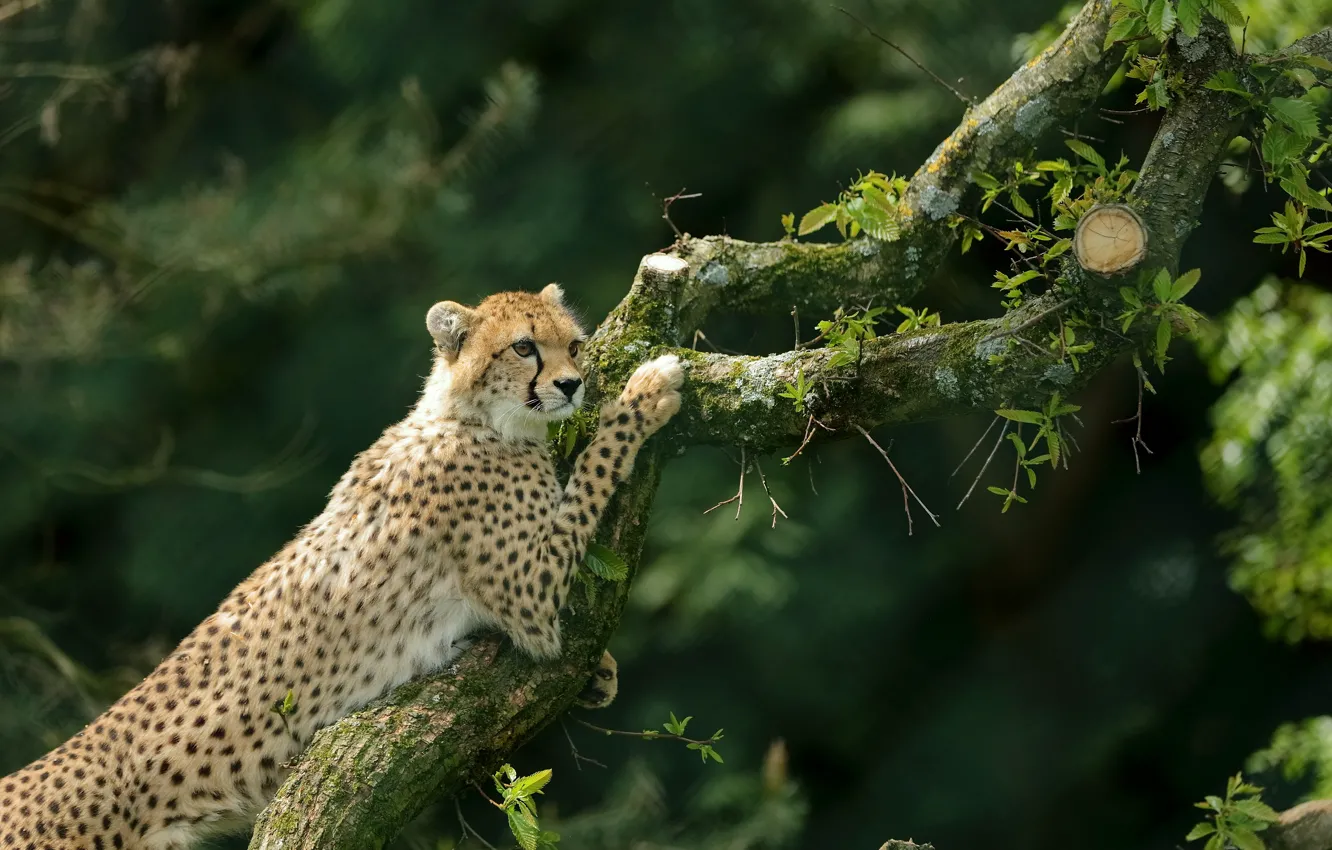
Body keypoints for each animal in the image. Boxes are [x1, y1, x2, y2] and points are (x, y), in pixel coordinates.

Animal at [0, 282, 684, 850]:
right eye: (524, 347)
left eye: (574, 344)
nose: (571, 384)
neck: (472, 417)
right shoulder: (531, 595)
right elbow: (594, 470)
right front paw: (646, 394)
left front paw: (601, 671)